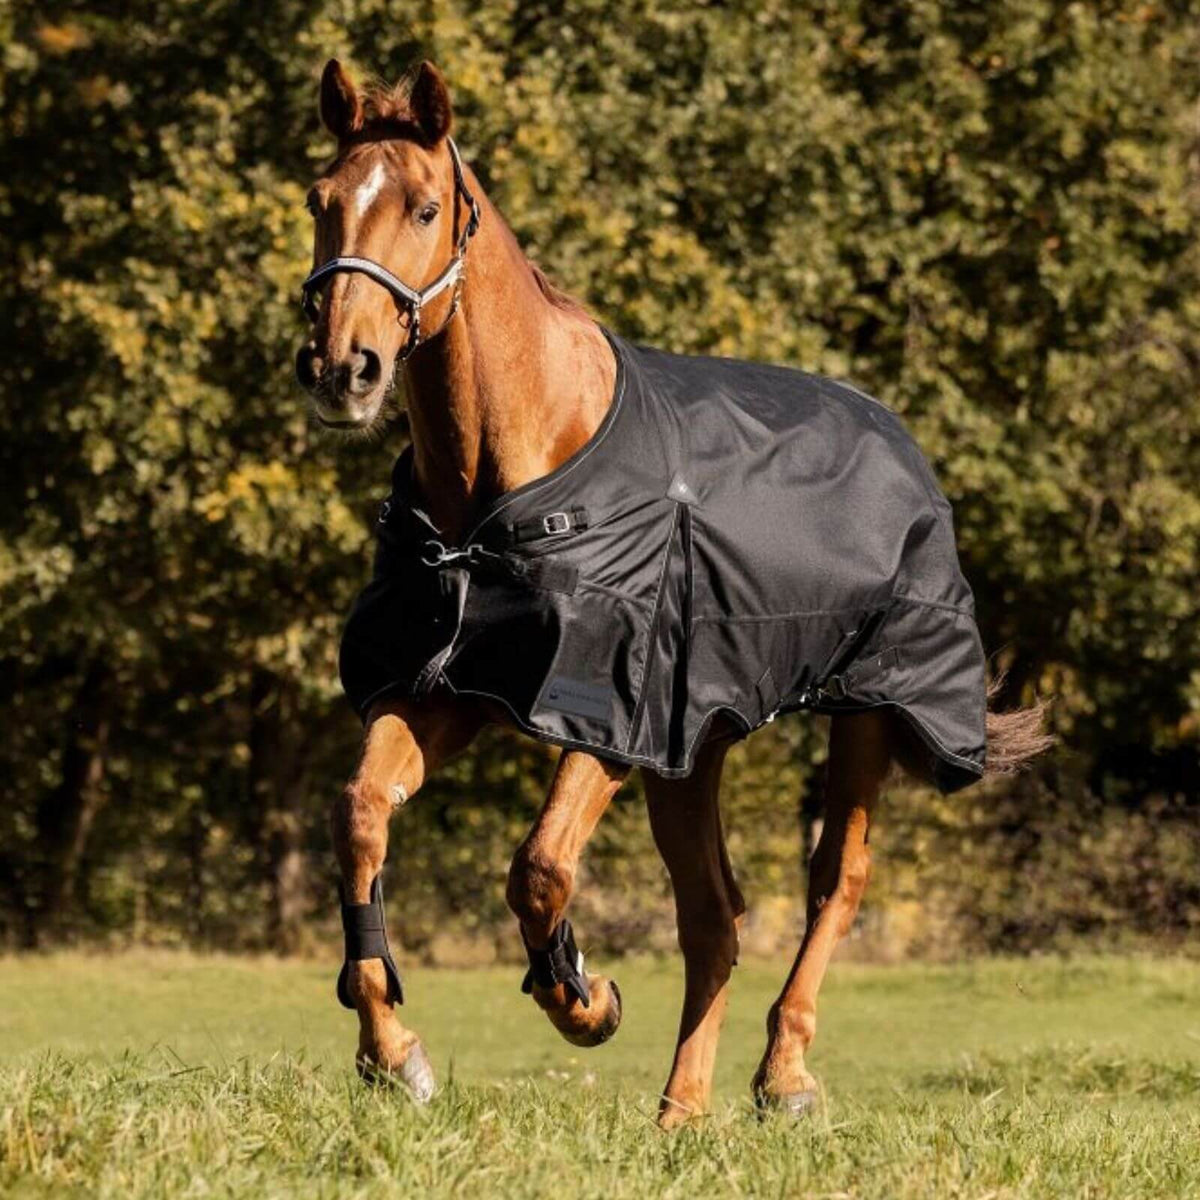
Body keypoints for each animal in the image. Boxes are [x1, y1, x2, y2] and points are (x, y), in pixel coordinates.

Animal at [295, 59, 1050, 1128]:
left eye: (425, 208)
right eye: (322, 202)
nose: (342, 369)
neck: (503, 488)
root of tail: (898, 438)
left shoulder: (612, 714)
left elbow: (539, 868)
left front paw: (584, 999)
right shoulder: (447, 689)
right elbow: (361, 815)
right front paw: (393, 1054)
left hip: (863, 712)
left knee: (835, 881)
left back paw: (783, 1076)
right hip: (696, 748)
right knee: (714, 917)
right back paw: (681, 1110)